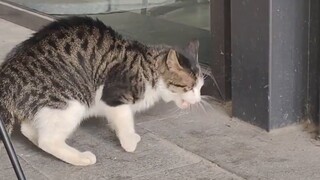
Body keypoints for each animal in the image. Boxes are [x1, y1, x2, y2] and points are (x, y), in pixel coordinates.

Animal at [0, 16, 204, 166]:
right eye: (190, 87)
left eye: (201, 86)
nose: (199, 99)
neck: (148, 68)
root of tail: (7, 74)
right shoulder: (114, 96)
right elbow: (124, 119)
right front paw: (129, 142)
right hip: (70, 102)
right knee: (48, 140)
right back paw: (82, 158)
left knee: (29, 129)